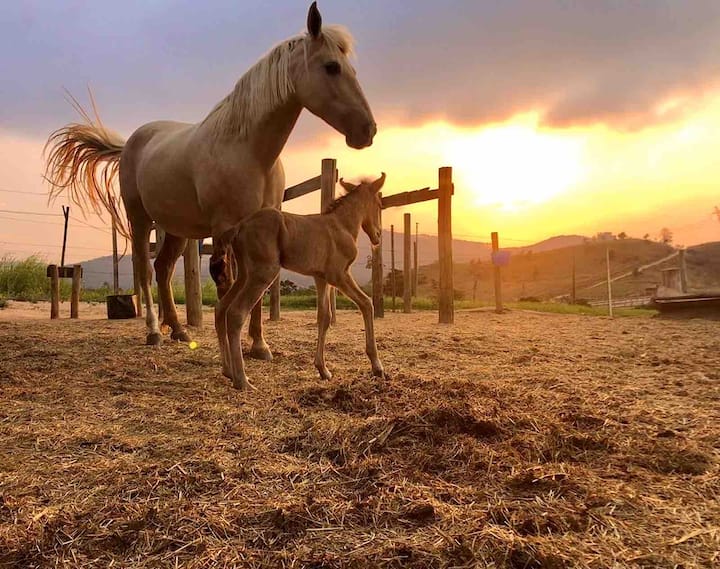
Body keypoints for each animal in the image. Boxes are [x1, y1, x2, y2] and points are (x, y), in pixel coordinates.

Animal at [44, 2, 376, 356]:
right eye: (331, 67)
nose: (368, 130)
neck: (248, 150)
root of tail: (132, 142)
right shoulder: (224, 228)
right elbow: (225, 283)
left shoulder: (260, 226)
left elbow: (256, 286)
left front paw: (259, 345)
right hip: (139, 219)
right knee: (143, 270)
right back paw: (154, 331)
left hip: (176, 230)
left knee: (163, 269)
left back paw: (178, 330)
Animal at [215, 173, 387, 390]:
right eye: (379, 204)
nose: (378, 236)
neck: (342, 225)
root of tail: (239, 227)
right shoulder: (339, 275)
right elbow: (366, 304)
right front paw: (377, 367)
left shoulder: (321, 278)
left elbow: (325, 317)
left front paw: (323, 369)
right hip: (263, 273)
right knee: (236, 312)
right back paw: (242, 381)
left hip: (245, 275)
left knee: (221, 308)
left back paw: (228, 371)